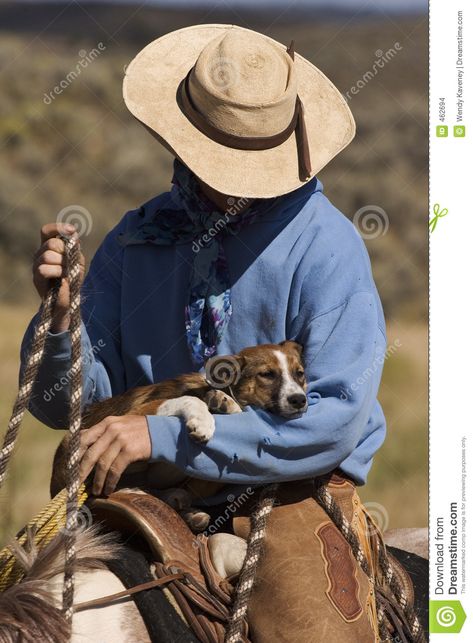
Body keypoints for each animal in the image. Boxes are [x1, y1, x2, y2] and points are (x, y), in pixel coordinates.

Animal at [51, 340, 308, 532]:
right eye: (267, 374)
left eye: (300, 374)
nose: (299, 400)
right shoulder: (138, 412)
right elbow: (190, 398)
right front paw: (205, 419)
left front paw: (224, 404)